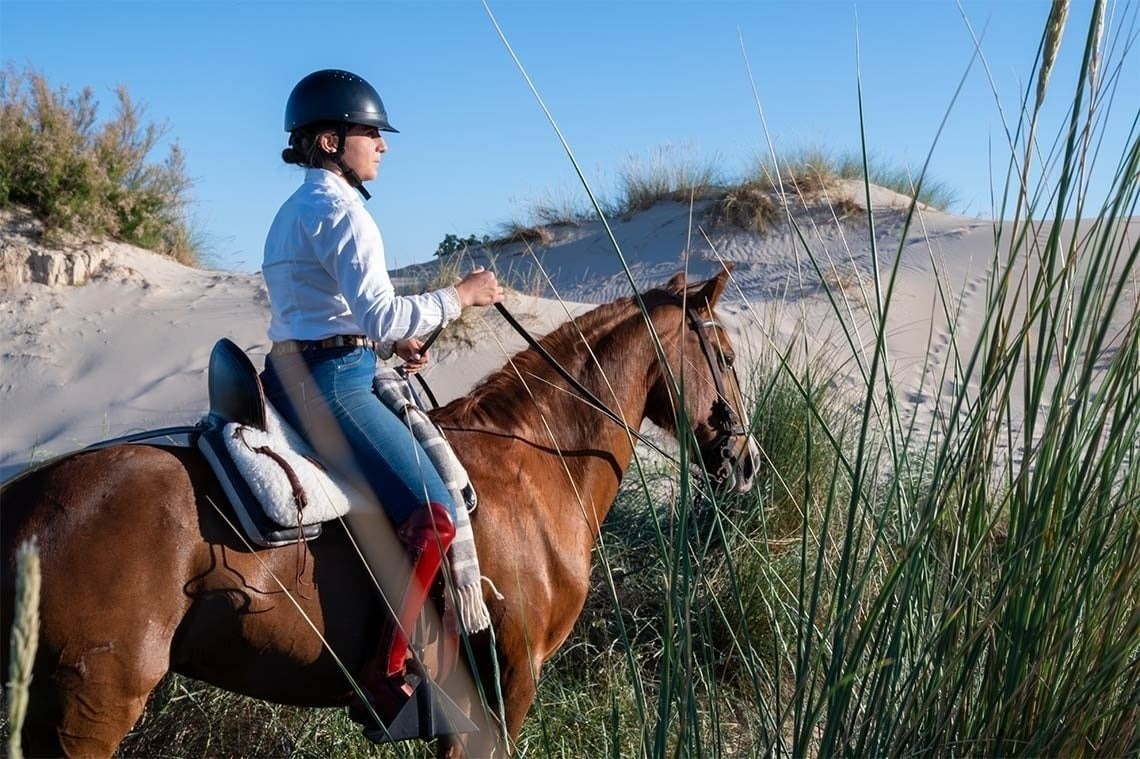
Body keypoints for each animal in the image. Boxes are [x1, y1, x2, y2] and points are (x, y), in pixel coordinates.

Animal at [0, 269, 757, 758]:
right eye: (724, 354)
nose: (746, 463)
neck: (535, 462)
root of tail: (25, 500)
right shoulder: (508, 683)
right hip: (88, 711)